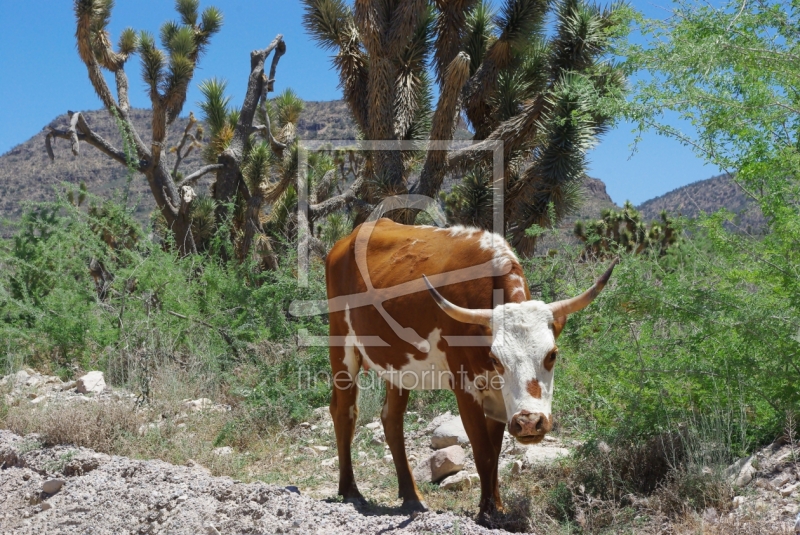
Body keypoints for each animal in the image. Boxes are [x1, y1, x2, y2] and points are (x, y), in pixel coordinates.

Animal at [324, 219, 620, 520]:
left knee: (391, 419)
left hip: (397, 366)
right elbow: (484, 452)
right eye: (497, 359)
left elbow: (495, 452)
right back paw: (351, 491)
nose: (528, 422)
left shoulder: (499, 399)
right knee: (344, 412)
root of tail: (348, 239)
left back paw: (411, 497)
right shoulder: (465, 387)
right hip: (342, 344)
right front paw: (487, 513)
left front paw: (495, 505)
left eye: (552, 355)